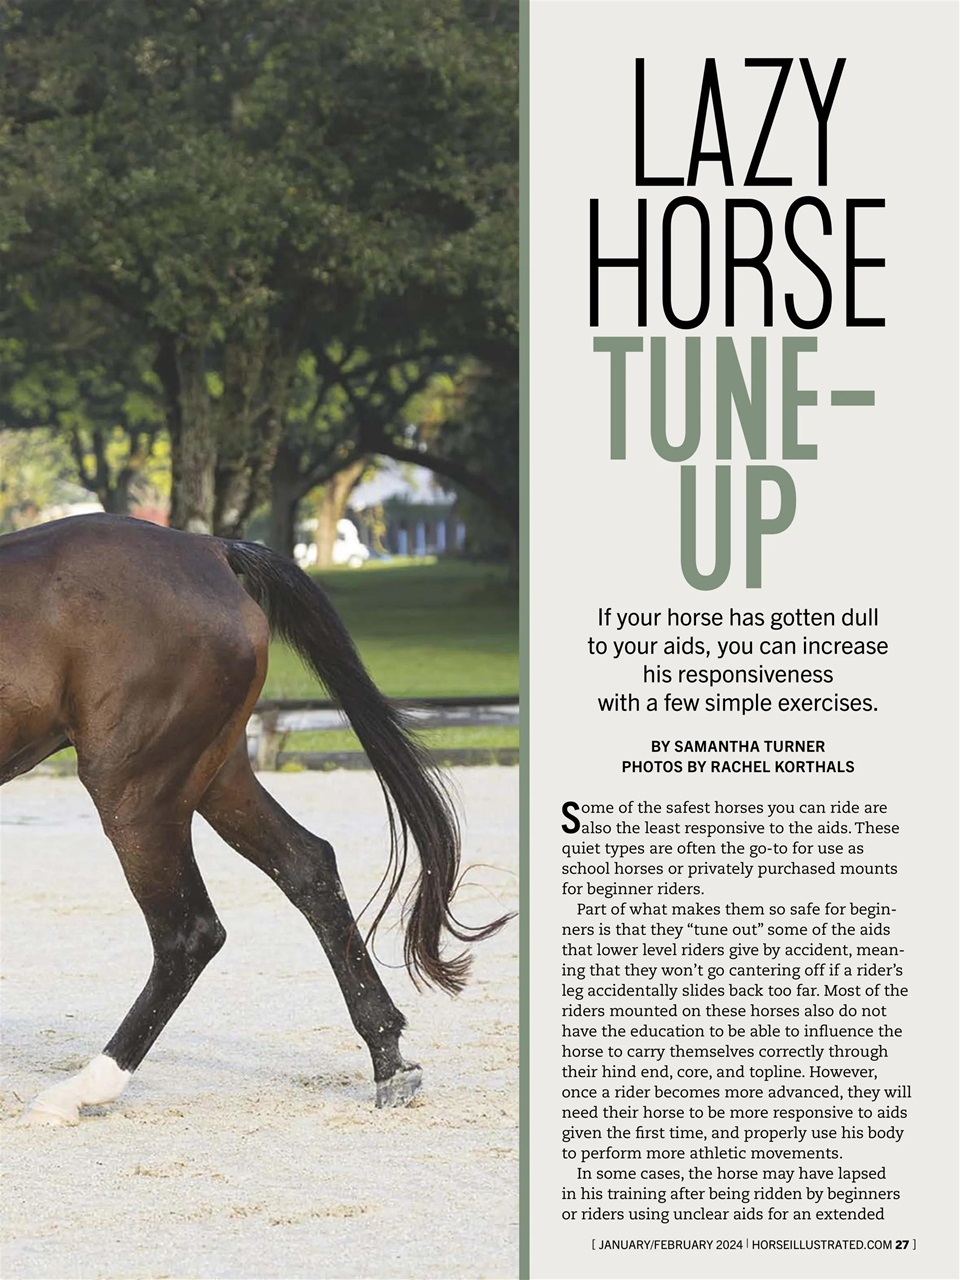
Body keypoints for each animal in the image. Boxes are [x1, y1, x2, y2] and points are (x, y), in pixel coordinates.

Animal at [0, 514, 509, 1126]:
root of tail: (208, 548)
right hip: (215, 775)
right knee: (308, 867)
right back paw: (390, 1061)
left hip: (135, 790)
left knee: (189, 932)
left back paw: (81, 1090)